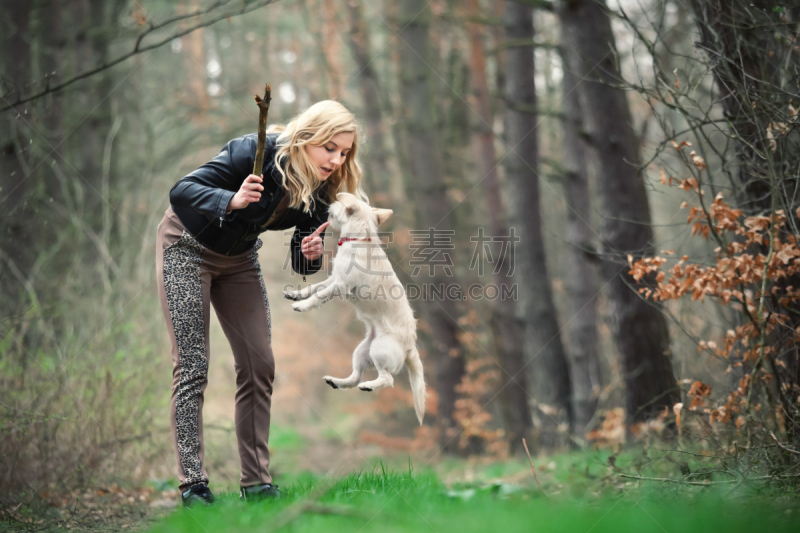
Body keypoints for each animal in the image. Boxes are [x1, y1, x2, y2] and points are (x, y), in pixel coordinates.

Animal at [284, 191, 428, 424]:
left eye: (337, 205)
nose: (327, 206)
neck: (358, 239)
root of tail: (410, 347)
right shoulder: (334, 279)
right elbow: (314, 288)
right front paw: (297, 294)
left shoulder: (340, 285)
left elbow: (319, 295)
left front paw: (303, 305)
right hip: (362, 351)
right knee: (355, 377)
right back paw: (337, 382)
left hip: (379, 350)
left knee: (387, 379)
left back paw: (368, 385)